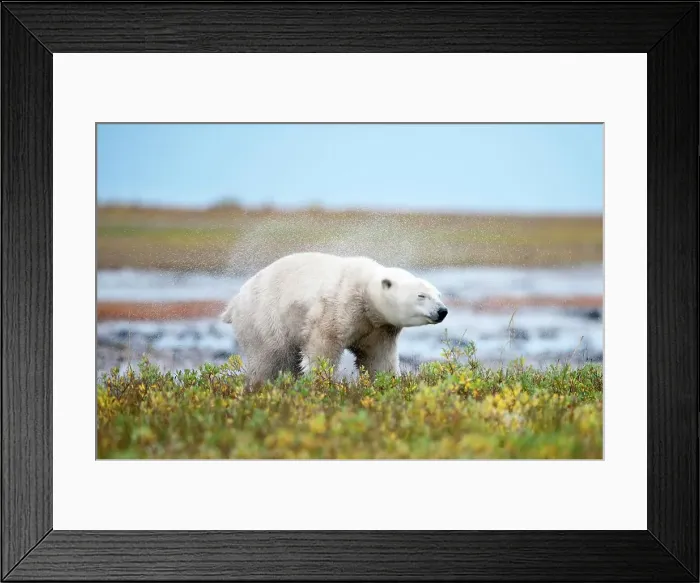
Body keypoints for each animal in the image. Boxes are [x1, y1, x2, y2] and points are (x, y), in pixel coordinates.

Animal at [221, 252, 448, 389]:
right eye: (421, 296)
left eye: (438, 295)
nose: (442, 311)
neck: (364, 292)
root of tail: (233, 303)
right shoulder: (337, 307)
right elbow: (323, 348)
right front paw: (321, 383)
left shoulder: (379, 327)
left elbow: (379, 358)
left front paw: (386, 382)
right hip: (265, 319)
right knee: (268, 359)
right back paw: (257, 387)